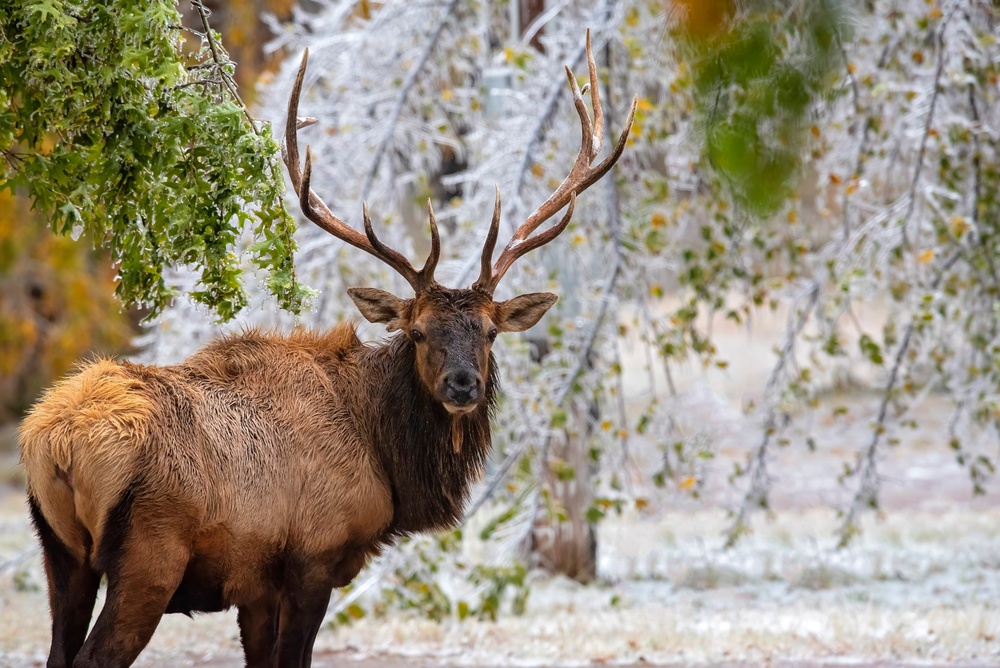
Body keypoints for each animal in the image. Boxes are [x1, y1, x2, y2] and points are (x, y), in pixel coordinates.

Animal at [19, 32, 636, 668]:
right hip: (149, 554)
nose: (463, 385)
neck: (383, 457)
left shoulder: (255, 584)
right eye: (418, 332)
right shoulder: (314, 557)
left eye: (489, 332)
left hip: (60, 554)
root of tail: (54, 443)